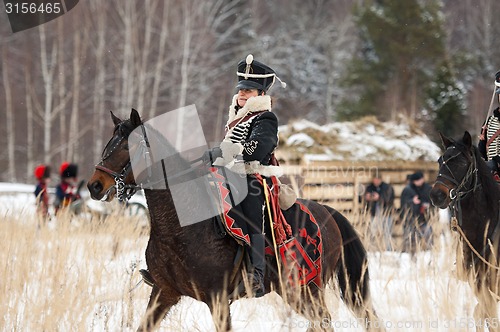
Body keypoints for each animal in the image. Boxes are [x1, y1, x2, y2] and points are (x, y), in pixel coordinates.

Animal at [88, 108, 376, 330]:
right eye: (108, 144)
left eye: (128, 146)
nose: (94, 186)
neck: (179, 229)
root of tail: (327, 211)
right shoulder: (163, 292)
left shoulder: (217, 300)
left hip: (306, 290)